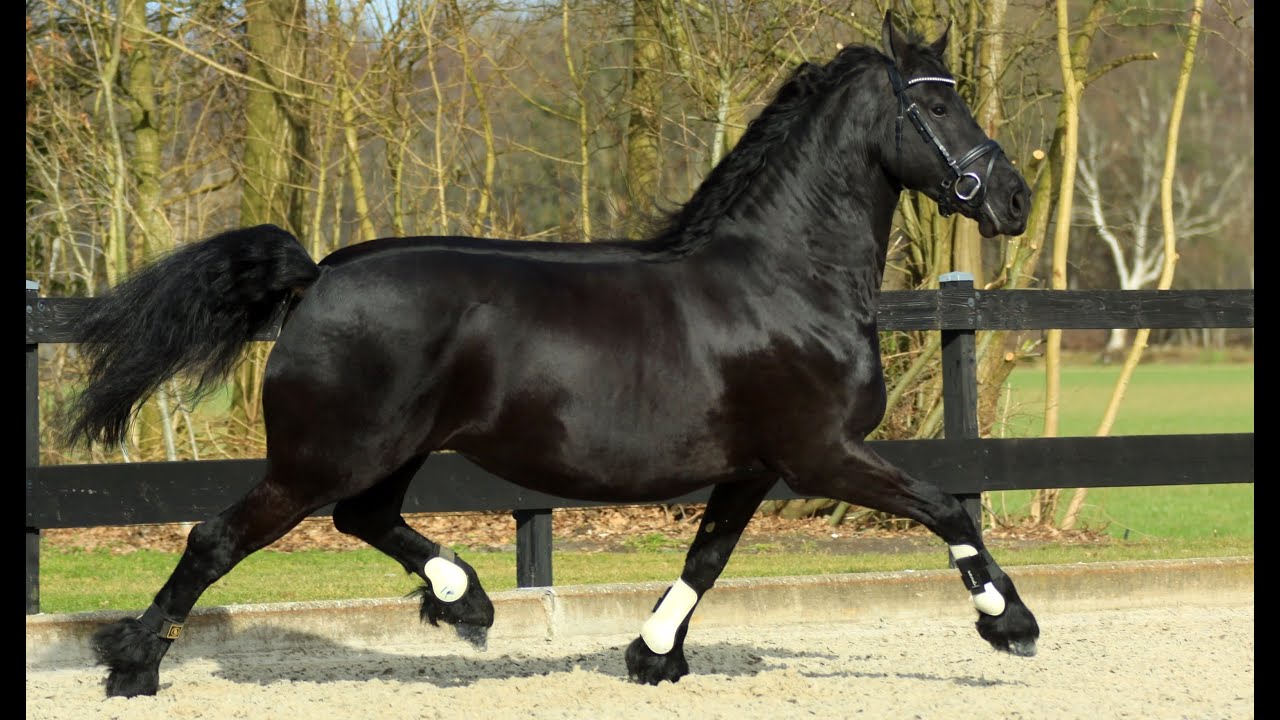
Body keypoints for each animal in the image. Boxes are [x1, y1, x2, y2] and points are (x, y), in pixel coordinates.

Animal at [62, 12, 1039, 696]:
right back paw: (135, 665)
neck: (784, 279)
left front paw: (653, 655)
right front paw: (1011, 623)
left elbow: (707, 559)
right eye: (938, 103)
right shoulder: (823, 454)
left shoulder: (755, 467)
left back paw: (466, 598)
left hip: (388, 451)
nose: (1014, 198)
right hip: (322, 456)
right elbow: (946, 508)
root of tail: (319, 275)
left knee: (364, 520)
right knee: (217, 537)